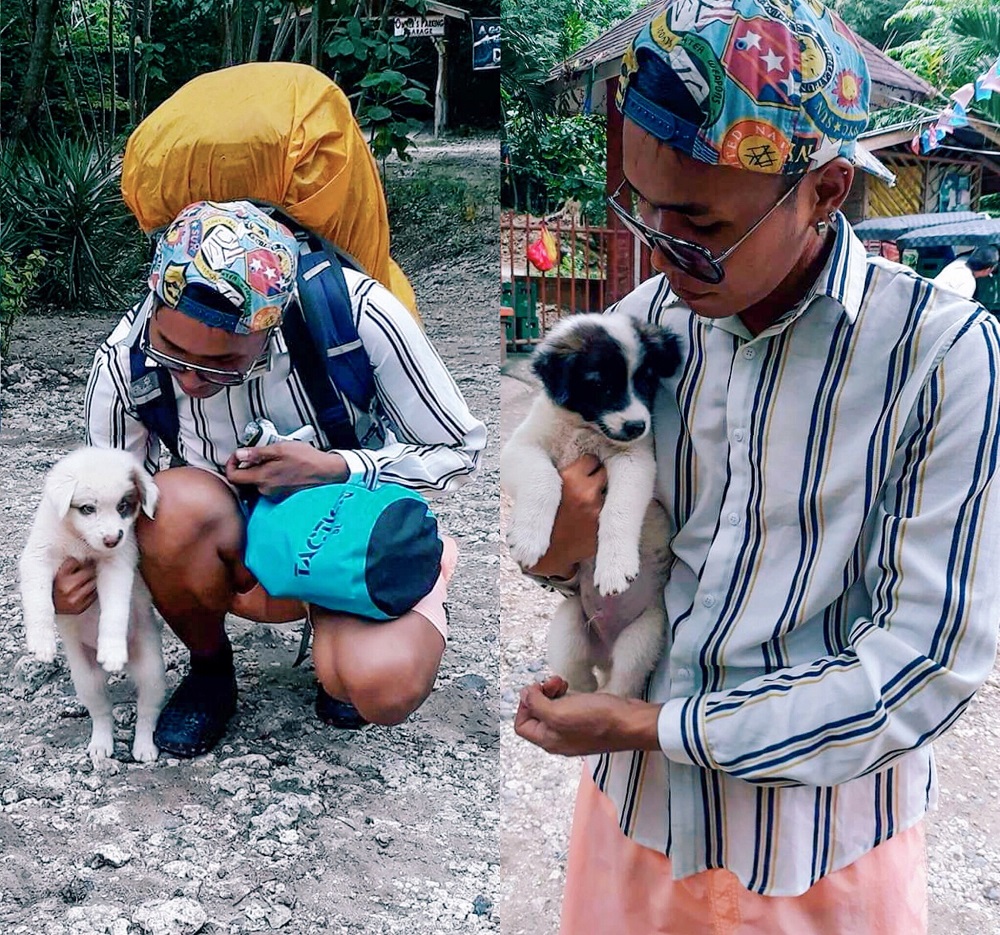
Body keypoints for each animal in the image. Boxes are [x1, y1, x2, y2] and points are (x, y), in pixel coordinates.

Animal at [18, 447, 165, 763]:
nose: (111, 539)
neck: (80, 540)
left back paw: (144, 746)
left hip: (151, 670)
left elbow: (114, 610)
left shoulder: (117, 564)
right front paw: (42, 643)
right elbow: (39, 601)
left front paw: (112, 649)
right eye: (87, 508)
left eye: (124, 506)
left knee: (147, 711)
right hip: (86, 679)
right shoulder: (38, 556)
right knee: (101, 712)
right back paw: (101, 745)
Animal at [502, 313, 681, 696]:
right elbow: (543, 478)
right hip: (568, 626)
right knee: (581, 678)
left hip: (643, 636)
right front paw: (529, 539)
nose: (637, 425)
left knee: (615, 690)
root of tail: (605, 650)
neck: (583, 428)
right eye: (600, 384)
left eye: (645, 380)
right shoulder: (521, 448)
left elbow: (619, 509)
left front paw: (615, 566)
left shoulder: (635, 460)